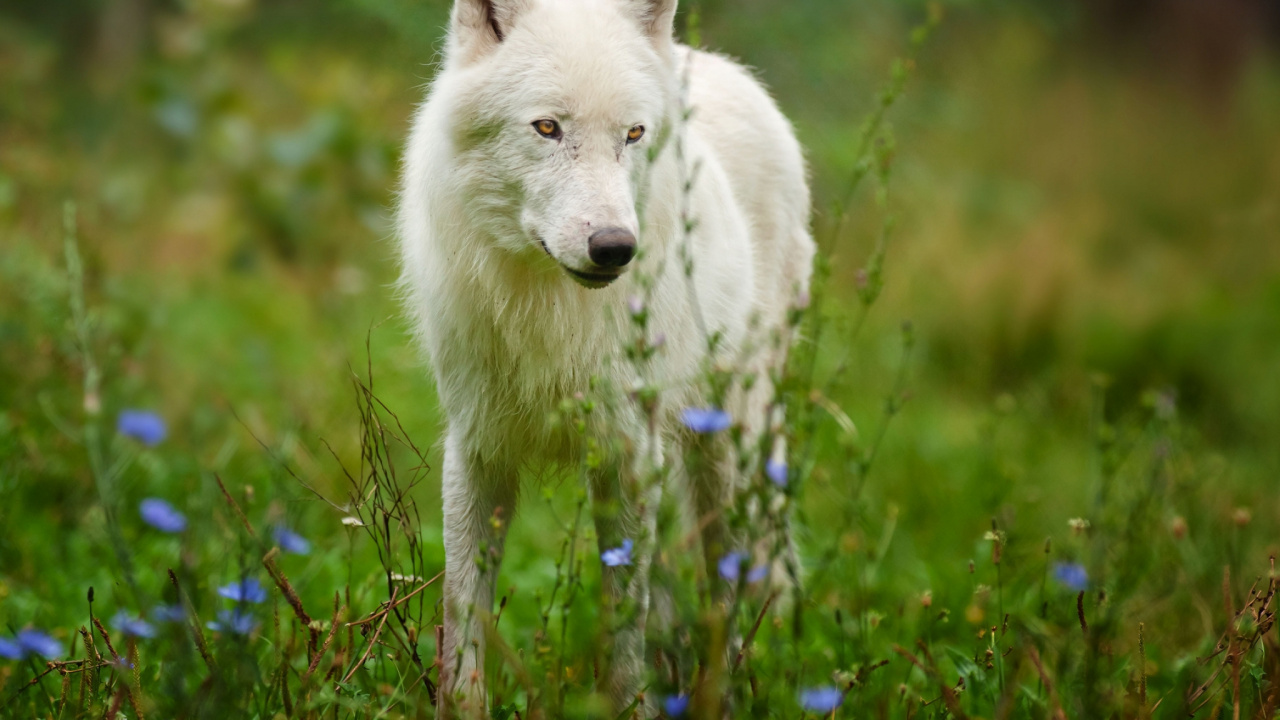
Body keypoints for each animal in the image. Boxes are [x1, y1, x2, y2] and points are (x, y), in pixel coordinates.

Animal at [396, 0, 814, 714]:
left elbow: (624, 627)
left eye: (634, 134)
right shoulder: (477, 448)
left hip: (729, 451)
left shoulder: (627, 452)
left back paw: (724, 688)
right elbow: (463, 614)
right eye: (548, 127)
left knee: (728, 589)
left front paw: (632, 706)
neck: (548, 308)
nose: (615, 247)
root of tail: (716, 64)